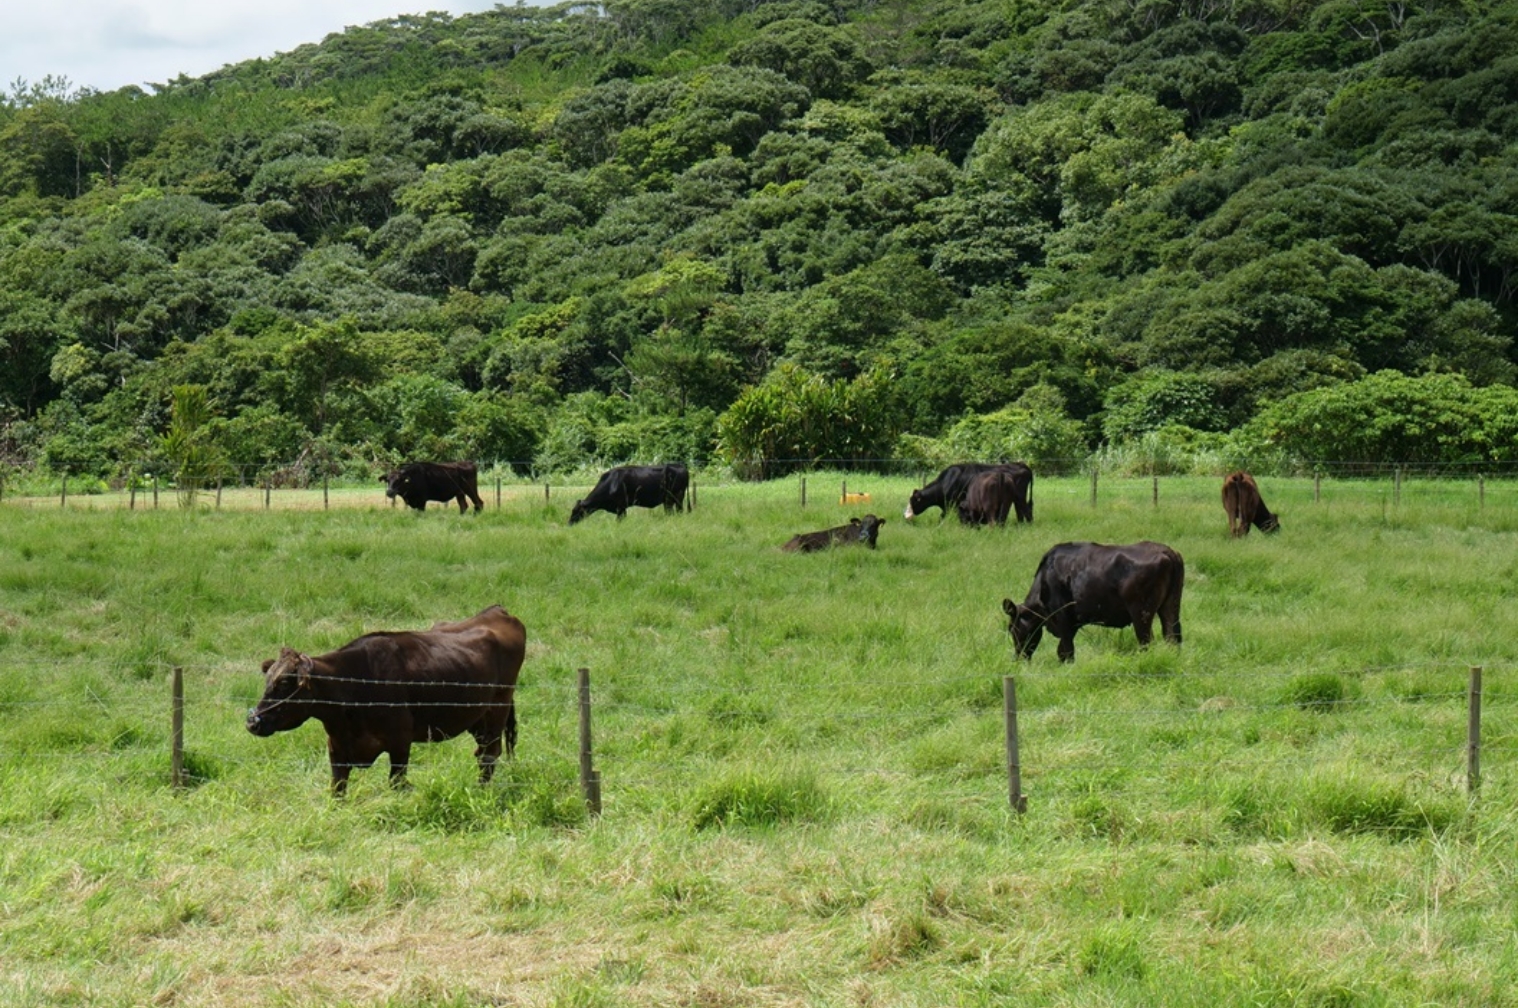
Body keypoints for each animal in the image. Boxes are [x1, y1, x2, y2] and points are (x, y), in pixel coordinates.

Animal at [245, 607, 525, 795]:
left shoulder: (400, 742)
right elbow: (337, 790)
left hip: (497, 709)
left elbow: (397, 783)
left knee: (489, 755)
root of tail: (497, 611)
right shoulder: (337, 749)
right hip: (477, 717)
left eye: (284, 684)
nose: (252, 722)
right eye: (267, 681)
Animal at [898, 461, 1032, 522]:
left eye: (914, 501)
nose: (905, 516)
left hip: (1020, 497)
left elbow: (943, 517)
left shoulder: (951, 504)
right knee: (1022, 511)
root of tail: (1021, 464)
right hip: (1016, 499)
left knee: (1026, 510)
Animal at [1007, 543, 1184, 661]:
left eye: (1011, 628)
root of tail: (1166, 550)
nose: (1018, 658)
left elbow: (1066, 651)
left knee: (1147, 642)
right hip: (1170, 606)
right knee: (1172, 637)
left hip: (1141, 613)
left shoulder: (1063, 618)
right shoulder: (1073, 623)